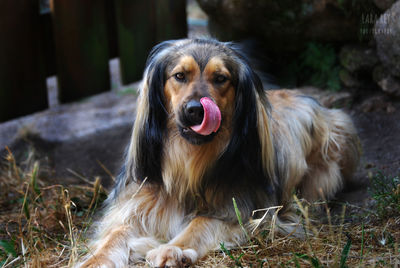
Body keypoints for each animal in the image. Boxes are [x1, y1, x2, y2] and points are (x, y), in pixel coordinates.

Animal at [76, 38, 360, 266]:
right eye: (179, 76)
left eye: (221, 78)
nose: (195, 110)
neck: (187, 164)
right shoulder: (136, 204)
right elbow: (116, 234)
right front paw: (94, 260)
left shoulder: (241, 211)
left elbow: (199, 223)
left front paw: (173, 249)